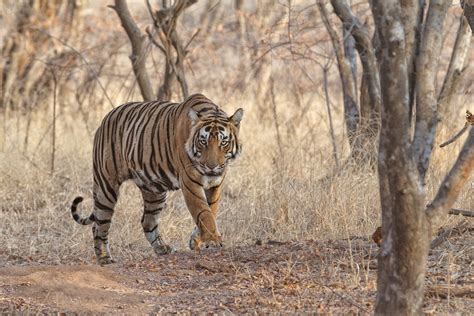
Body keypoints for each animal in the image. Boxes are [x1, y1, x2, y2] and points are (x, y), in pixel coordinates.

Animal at [70, 93, 244, 264]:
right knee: (99, 224)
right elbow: (203, 211)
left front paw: (196, 240)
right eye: (203, 141)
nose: (211, 167)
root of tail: (105, 119)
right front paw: (211, 240)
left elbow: (211, 210)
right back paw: (104, 258)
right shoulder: (190, 183)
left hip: (154, 190)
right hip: (106, 185)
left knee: (147, 221)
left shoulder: (215, 184)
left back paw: (162, 248)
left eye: (224, 142)